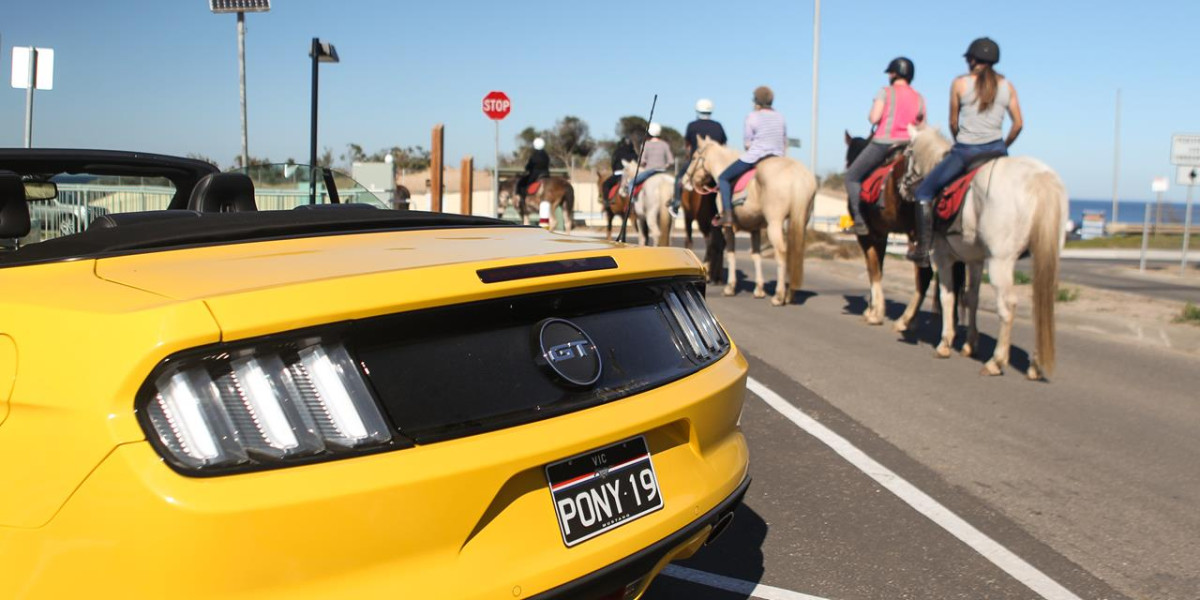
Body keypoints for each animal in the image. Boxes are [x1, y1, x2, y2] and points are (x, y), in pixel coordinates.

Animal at [681, 136, 820, 304]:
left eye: (694, 157)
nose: (685, 180)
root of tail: (798, 176)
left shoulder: (728, 227)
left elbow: (731, 252)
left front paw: (730, 287)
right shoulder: (755, 228)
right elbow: (756, 255)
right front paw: (759, 289)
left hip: (774, 223)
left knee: (781, 252)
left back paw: (779, 295)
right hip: (800, 220)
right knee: (795, 253)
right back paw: (790, 293)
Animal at [902, 124, 1065, 379]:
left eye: (908, 153)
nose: (902, 187)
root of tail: (1040, 177)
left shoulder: (943, 258)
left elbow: (948, 297)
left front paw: (945, 343)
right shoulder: (975, 260)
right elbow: (972, 298)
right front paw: (970, 345)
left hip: (1000, 261)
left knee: (1008, 305)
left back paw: (996, 361)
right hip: (1044, 256)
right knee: (1043, 303)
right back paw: (1035, 365)